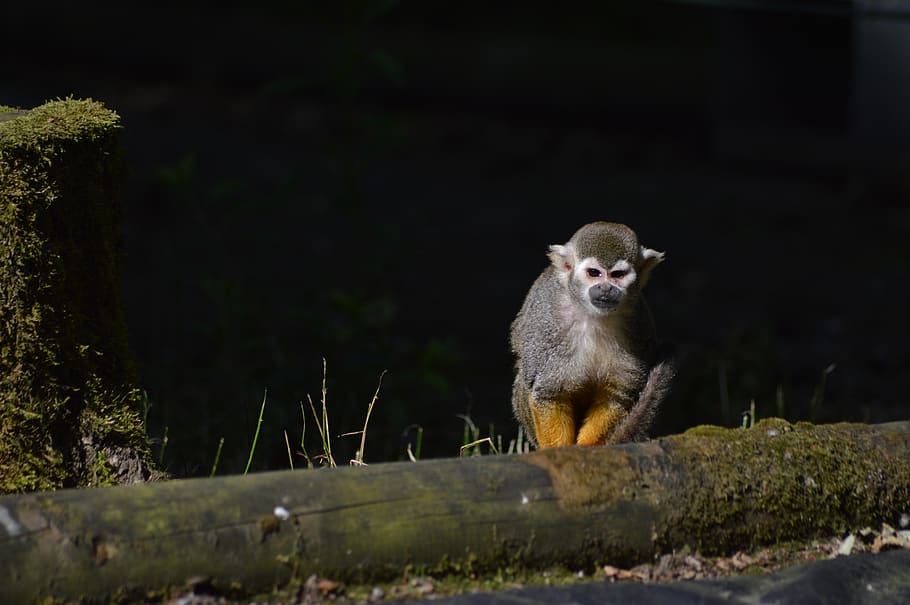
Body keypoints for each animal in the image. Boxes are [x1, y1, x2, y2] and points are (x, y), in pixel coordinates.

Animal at [510, 221, 676, 449]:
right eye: (594, 273)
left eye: (617, 275)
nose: (605, 289)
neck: (593, 317)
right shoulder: (548, 323)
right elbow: (548, 393)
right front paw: (561, 451)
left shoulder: (639, 324)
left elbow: (616, 395)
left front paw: (587, 448)